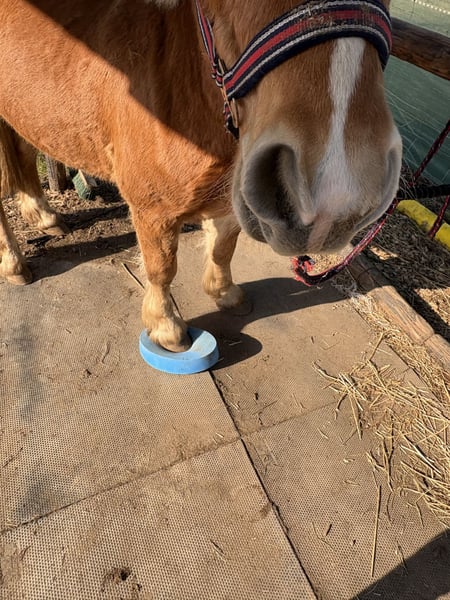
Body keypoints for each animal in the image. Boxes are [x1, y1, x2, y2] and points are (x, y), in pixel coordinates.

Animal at [0, 0, 402, 351]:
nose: (334, 189)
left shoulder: (233, 197)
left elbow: (223, 248)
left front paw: (224, 293)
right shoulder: (153, 208)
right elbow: (162, 268)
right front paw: (166, 326)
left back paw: (43, 216)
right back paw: (14, 263)